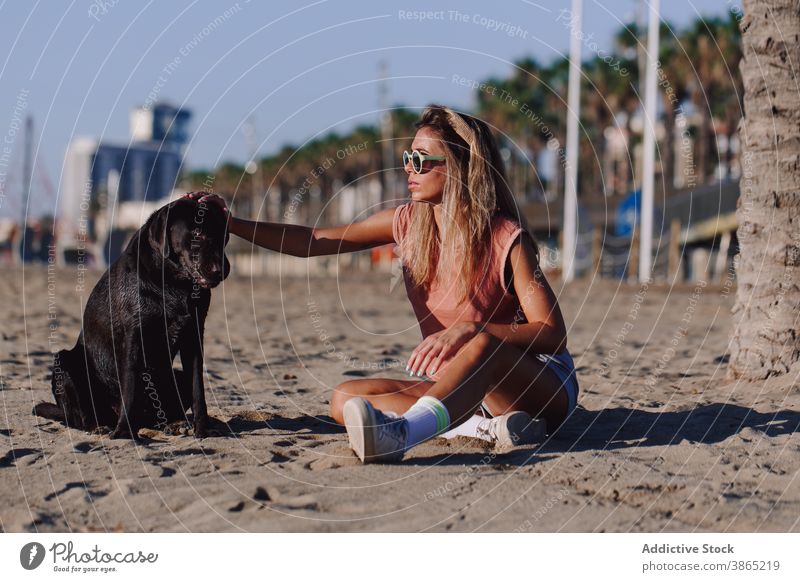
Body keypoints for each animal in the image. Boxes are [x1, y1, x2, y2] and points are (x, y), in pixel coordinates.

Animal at [33, 196, 230, 438]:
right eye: (198, 234)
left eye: (224, 235)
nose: (222, 270)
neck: (173, 283)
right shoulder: (134, 338)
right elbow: (130, 388)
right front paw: (124, 432)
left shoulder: (193, 336)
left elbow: (198, 390)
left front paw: (202, 428)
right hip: (65, 362)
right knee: (79, 418)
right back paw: (99, 426)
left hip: (175, 377)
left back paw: (173, 422)